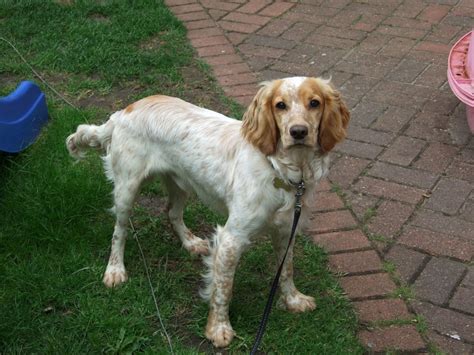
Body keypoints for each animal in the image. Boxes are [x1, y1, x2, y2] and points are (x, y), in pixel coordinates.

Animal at [65, 76, 348, 348]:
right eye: (280, 105)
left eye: (314, 103)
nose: (298, 132)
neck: (280, 169)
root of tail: (123, 112)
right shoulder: (231, 239)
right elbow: (223, 289)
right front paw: (218, 329)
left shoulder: (286, 229)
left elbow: (286, 270)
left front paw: (293, 300)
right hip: (127, 188)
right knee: (119, 231)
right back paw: (115, 270)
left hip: (180, 183)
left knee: (172, 213)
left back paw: (191, 243)